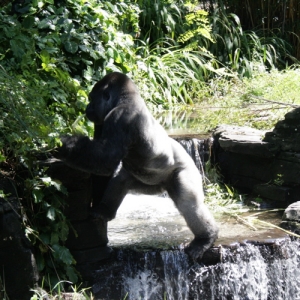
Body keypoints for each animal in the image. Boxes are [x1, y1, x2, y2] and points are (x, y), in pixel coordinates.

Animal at [58, 72, 218, 260]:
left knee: (189, 203)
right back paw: (105, 211)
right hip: (151, 185)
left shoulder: (120, 117)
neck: (125, 99)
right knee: (120, 180)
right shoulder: (102, 121)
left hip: (187, 170)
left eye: (91, 98)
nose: (88, 108)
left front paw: (63, 145)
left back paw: (206, 238)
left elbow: (105, 160)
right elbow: (101, 164)